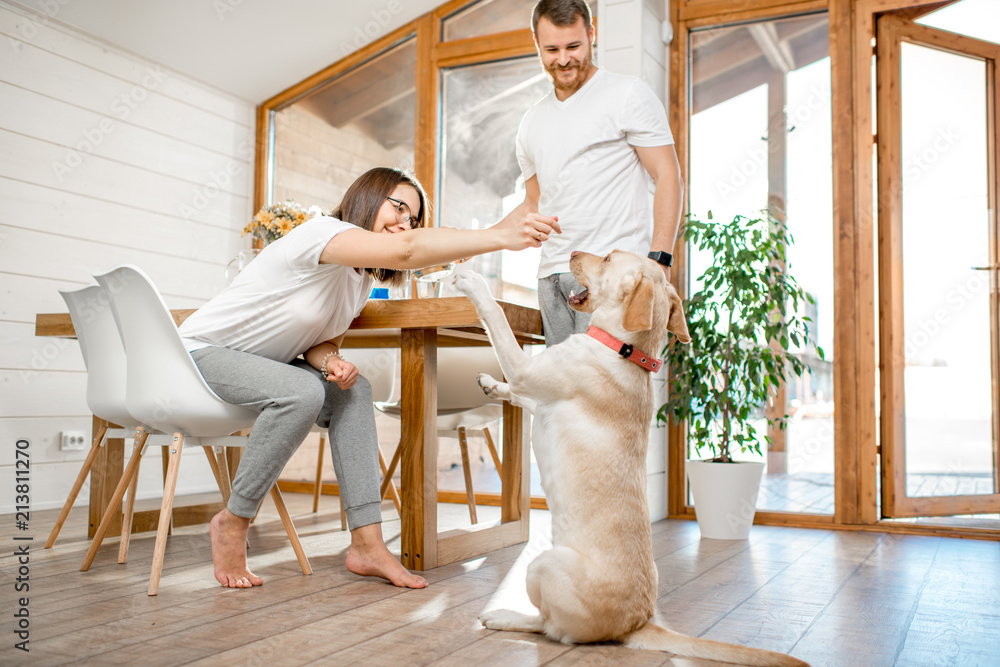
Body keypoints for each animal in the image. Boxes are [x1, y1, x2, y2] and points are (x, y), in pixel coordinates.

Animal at [450, 252, 808, 667]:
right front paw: (493, 385)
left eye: (607, 257)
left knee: (549, 627)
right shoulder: (538, 397)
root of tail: (637, 623)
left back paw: (503, 616)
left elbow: (497, 319)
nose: (572, 252)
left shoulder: (526, 370)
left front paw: (471, 280)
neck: (623, 349)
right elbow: (517, 393)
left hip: (544, 564)